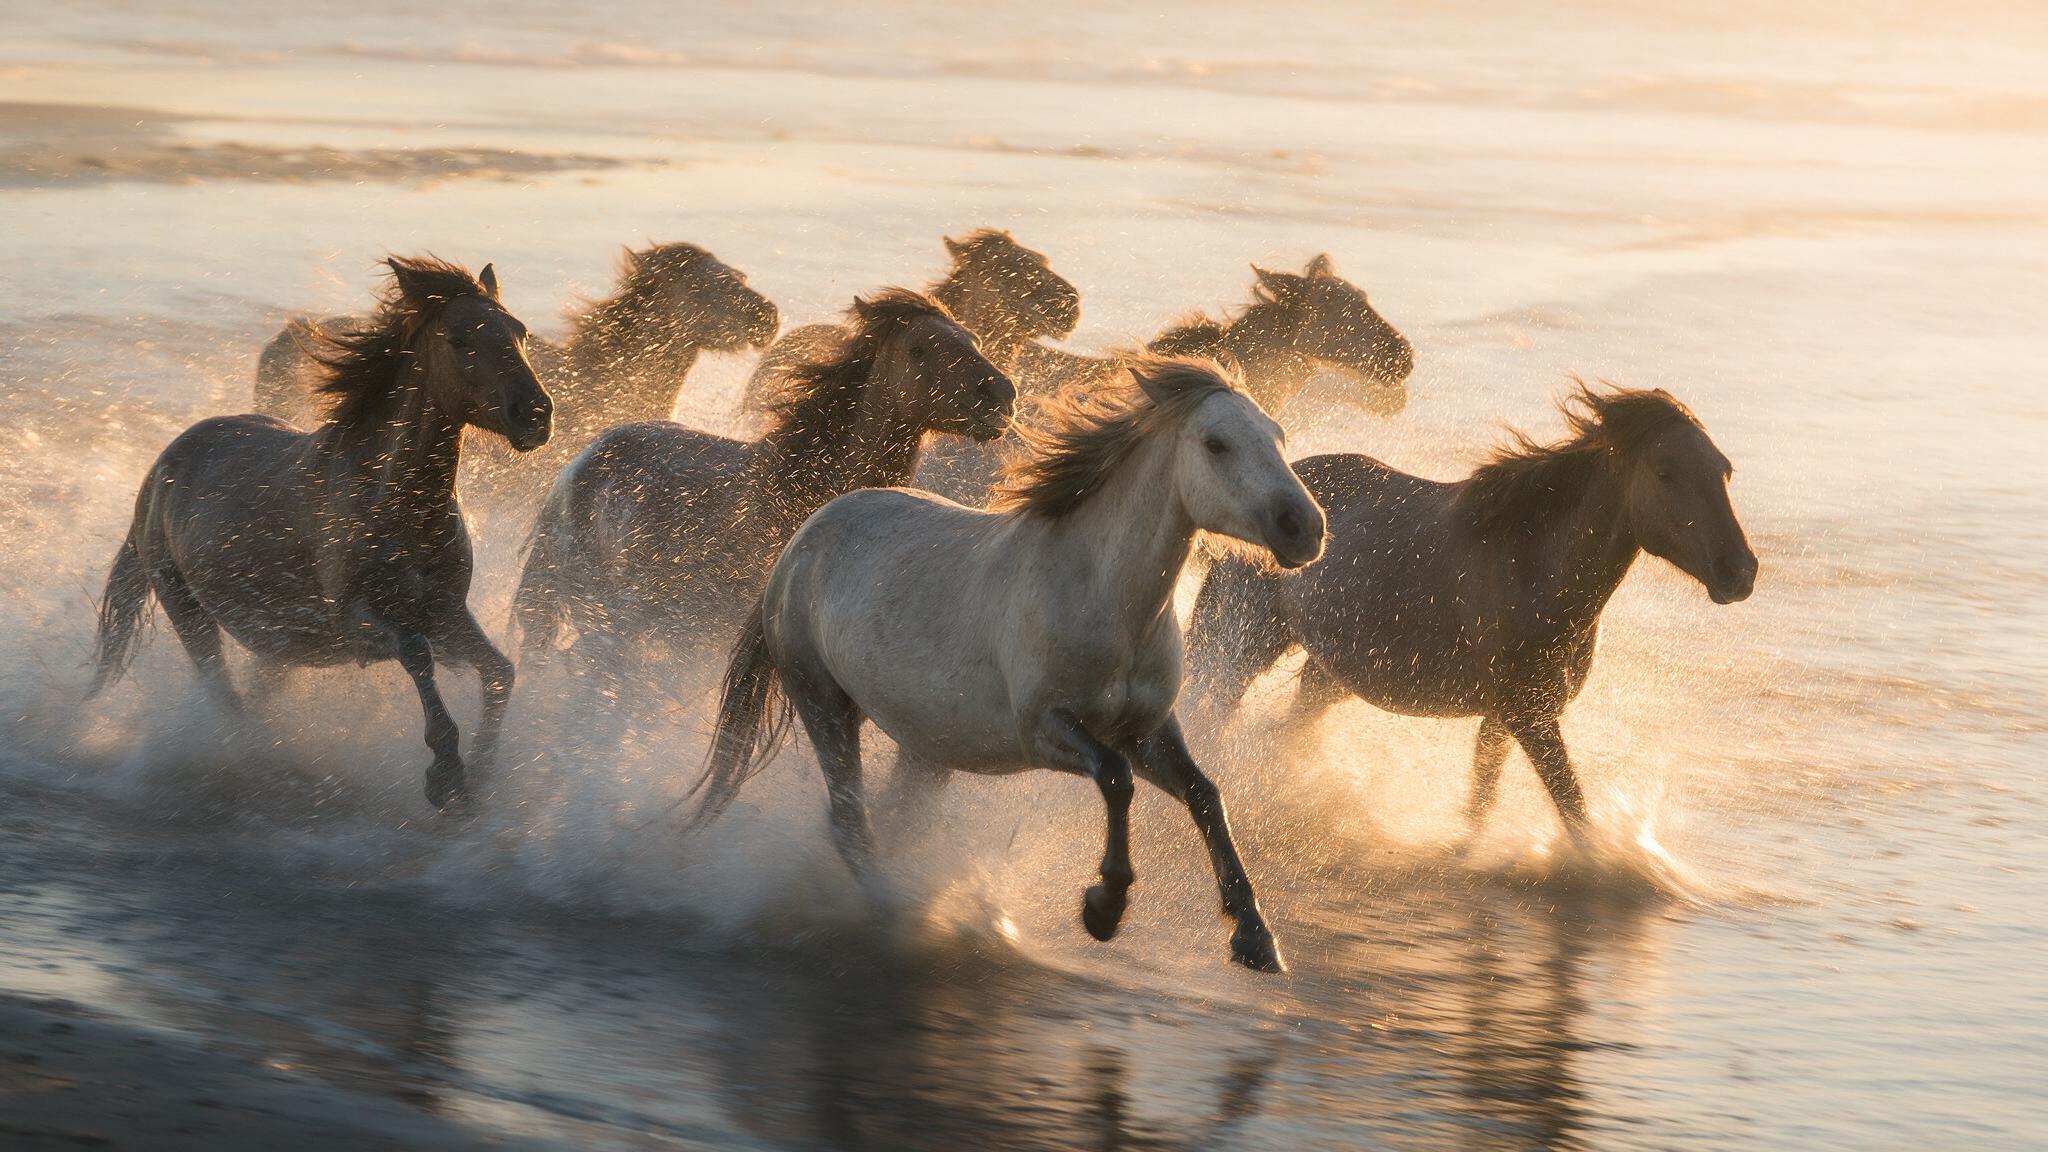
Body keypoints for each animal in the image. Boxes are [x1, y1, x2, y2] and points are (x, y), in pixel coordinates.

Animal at [89, 257, 553, 810]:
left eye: (520, 332)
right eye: (461, 339)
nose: (536, 414)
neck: (395, 505)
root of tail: (163, 463)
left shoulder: (444, 612)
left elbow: (500, 672)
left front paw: (479, 778)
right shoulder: (355, 621)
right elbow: (417, 653)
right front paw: (446, 776)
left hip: (281, 646)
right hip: (185, 607)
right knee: (223, 695)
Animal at [510, 289, 1014, 719]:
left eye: (975, 339)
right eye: (919, 349)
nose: (1001, 395)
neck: (800, 493)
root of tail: (579, 466)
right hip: (602, 614)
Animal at [691, 357, 1326, 971]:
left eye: (1277, 436)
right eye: (1217, 444)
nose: (1305, 527)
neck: (1104, 601)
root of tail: (804, 537)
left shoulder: (1145, 731)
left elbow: (1205, 795)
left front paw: (1255, 938)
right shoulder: (1044, 730)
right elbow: (1115, 780)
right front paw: (1104, 907)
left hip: (928, 745)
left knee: (896, 818)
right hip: (822, 701)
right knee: (851, 821)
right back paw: (894, 915)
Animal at [1183, 383, 1756, 840]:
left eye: (1724, 470)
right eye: (1666, 472)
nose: (1741, 572)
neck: (1533, 570)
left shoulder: (1503, 717)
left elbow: (1482, 797)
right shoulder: (1530, 717)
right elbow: (1571, 808)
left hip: (1329, 675)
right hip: (1241, 646)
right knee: (1210, 719)